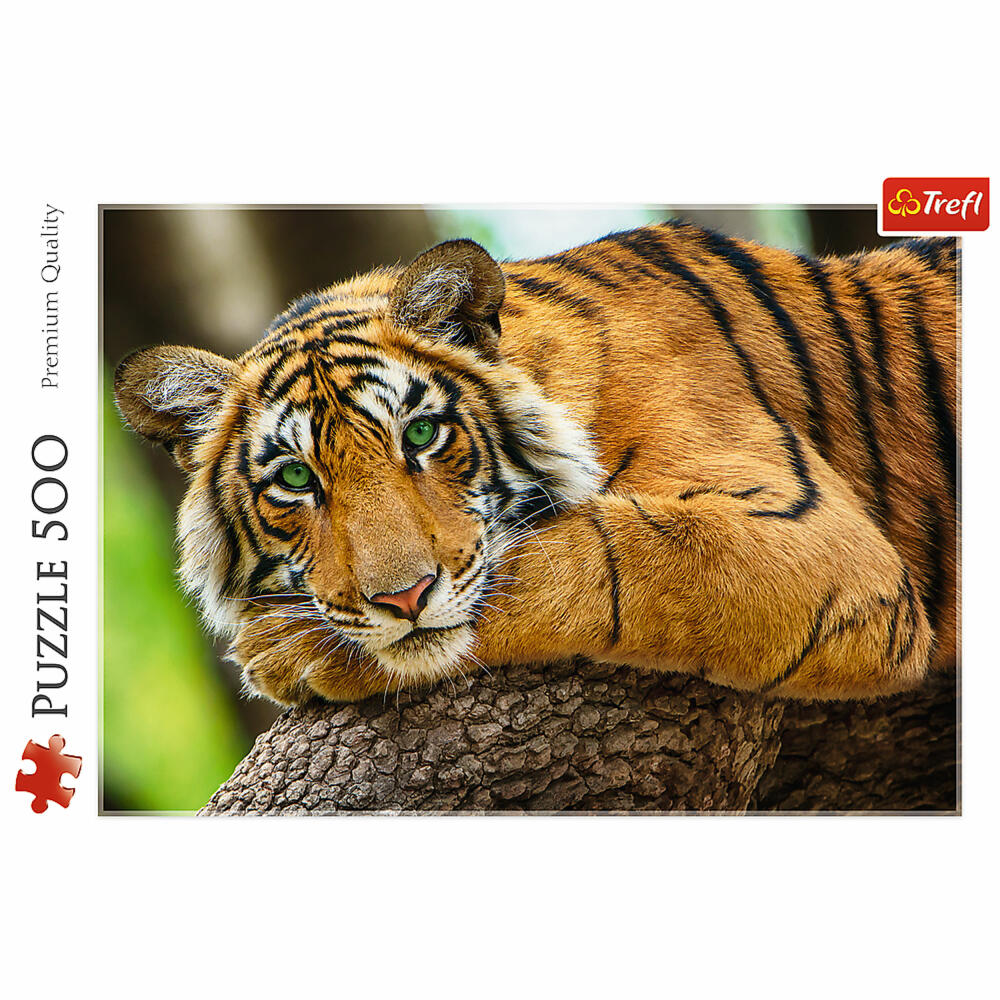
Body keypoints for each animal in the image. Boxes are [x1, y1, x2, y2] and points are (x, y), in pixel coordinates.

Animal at [113, 220, 958, 706]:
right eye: (294, 478)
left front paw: (287, 649)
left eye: (422, 435)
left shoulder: (817, 541)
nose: (403, 598)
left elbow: (593, 557)